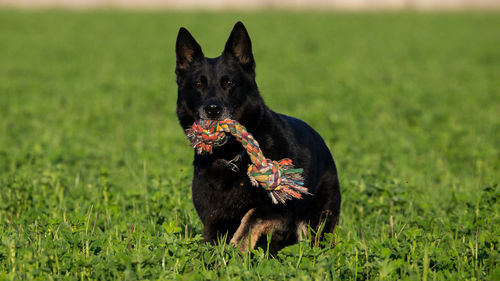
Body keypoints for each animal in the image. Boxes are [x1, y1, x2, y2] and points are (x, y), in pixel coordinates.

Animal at [175, 20, 340, 250]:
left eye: (229, 83)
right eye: (198, 84)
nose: (213, 109)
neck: (231, 156)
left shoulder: (281, 209)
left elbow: (253, 215)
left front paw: (238, 247)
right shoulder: (213, 221)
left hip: (319, 222)